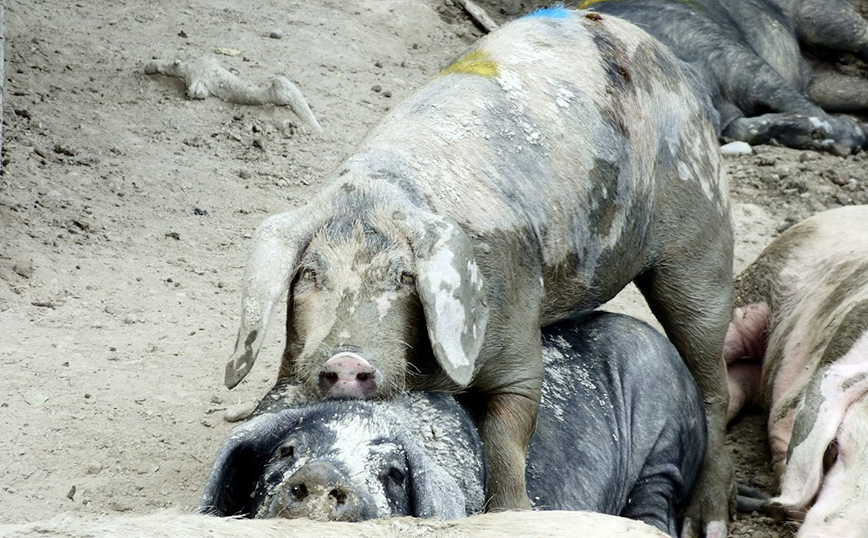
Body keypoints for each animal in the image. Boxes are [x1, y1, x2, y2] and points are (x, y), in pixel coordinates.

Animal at [580, 0, 868, 155]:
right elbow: (742, 129)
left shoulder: (743, 63)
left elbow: (788, 98)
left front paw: (853, 135)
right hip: (822, 83)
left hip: (826, 19)